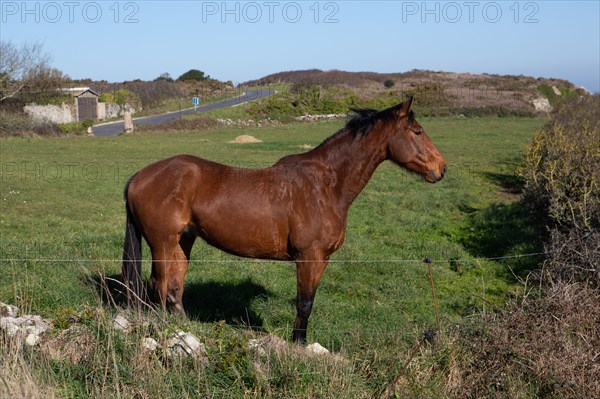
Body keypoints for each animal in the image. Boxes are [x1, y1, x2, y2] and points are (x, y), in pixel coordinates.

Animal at [123, 97, 446, 344]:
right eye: (417, 132)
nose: (441, 169)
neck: (326, 185)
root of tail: (140, 176)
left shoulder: (321, 260)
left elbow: (309, 301)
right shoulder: (309, 257)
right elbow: (304, 303)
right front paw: (299, 344)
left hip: (183, 240)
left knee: (175, 286)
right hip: (162, 243)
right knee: (160, 285)